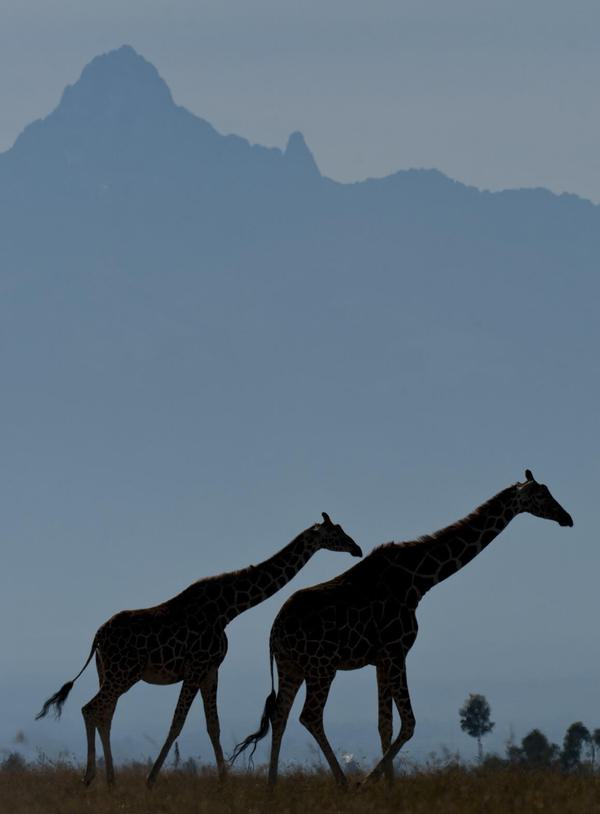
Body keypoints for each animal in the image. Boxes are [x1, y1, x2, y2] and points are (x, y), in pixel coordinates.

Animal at [36, 512, 362, 787]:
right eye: (335, 531)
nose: (356, 548)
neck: (228, 608)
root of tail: (97, 637)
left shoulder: (210, 669)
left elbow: (212, 725)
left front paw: (224, 781)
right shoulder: (195, 668)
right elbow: (177, 722)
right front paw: (151, 780)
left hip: (110, 673)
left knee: (105, 713)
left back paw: (110, 780)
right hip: (123, 674)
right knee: (91, 709)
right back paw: (92, 777)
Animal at [231, 470, 573, 786]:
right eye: (541, 495)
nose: (566, 518)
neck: (419, 580)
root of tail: (274, 631)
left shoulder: (382, 659)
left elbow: (385, 724)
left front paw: (389, 787)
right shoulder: (397, 651)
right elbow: (408, 724)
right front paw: (369, 783)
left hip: (291, 667)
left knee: (280, 715)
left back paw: (272, 785)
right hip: (321, 668)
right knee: (310, 716)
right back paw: (344, 784)